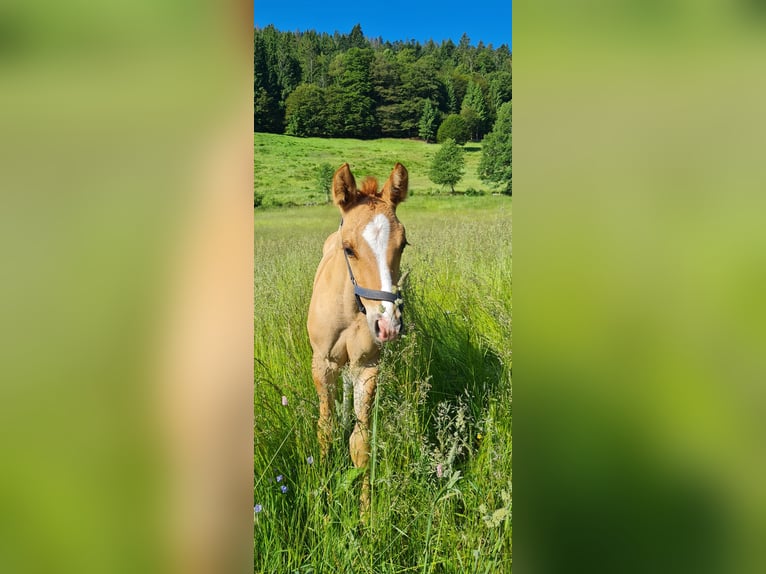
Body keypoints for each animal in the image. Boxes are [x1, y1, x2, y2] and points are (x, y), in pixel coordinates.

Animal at [308, 163, 412, 512]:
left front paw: (366, 513)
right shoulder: (322, 363)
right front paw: (323, 502)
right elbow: (324, 430)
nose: (388, 325)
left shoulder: (368, 367)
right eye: (349, 249)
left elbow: (361, 442)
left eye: (403, 244)